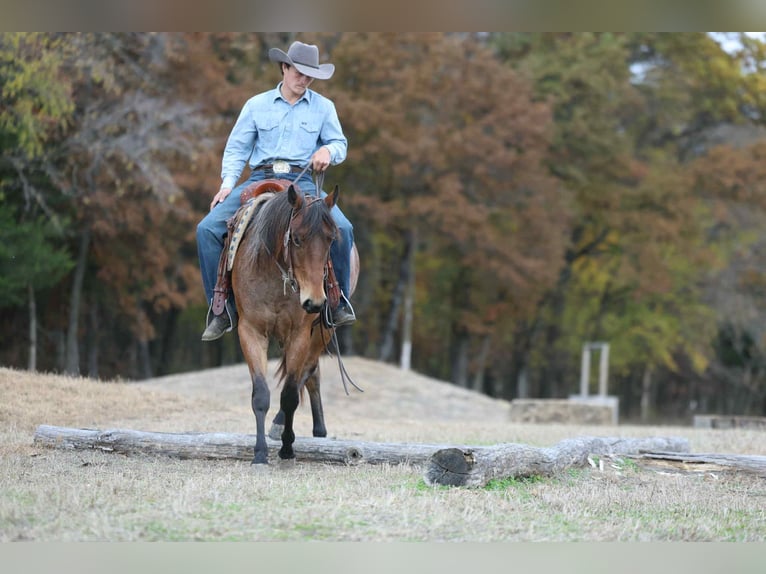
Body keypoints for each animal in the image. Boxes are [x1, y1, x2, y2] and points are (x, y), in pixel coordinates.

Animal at [231, 182, 359, 464]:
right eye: (297, 238)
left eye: (332, 239)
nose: (315, 301)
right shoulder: (250, 331)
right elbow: (261, 394)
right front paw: (259, 454)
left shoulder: (301, 333)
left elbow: (289, 394)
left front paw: (287, 447)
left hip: (322, 331)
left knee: (308, 371)